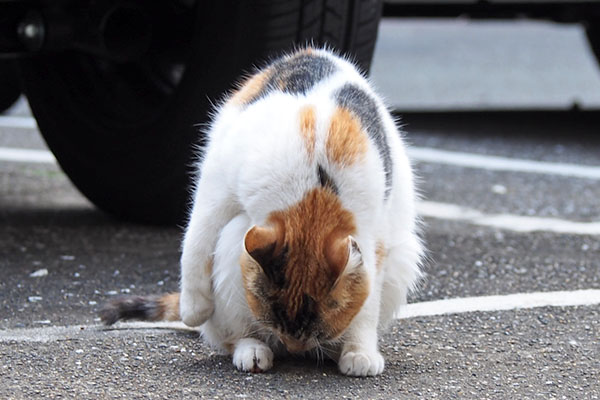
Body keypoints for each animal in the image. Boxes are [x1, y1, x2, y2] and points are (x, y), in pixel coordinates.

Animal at [99, 48, 422, 376]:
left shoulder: (375, 235)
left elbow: (367, 301)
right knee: (230, 334)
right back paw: (251, 349)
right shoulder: (217, 186)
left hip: (403, 256)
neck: (314, 182)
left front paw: (359, 350)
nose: (295, 347)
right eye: (275, 320)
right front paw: (193, 308)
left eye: (317, 330)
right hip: (232, 239)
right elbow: (196, 240)